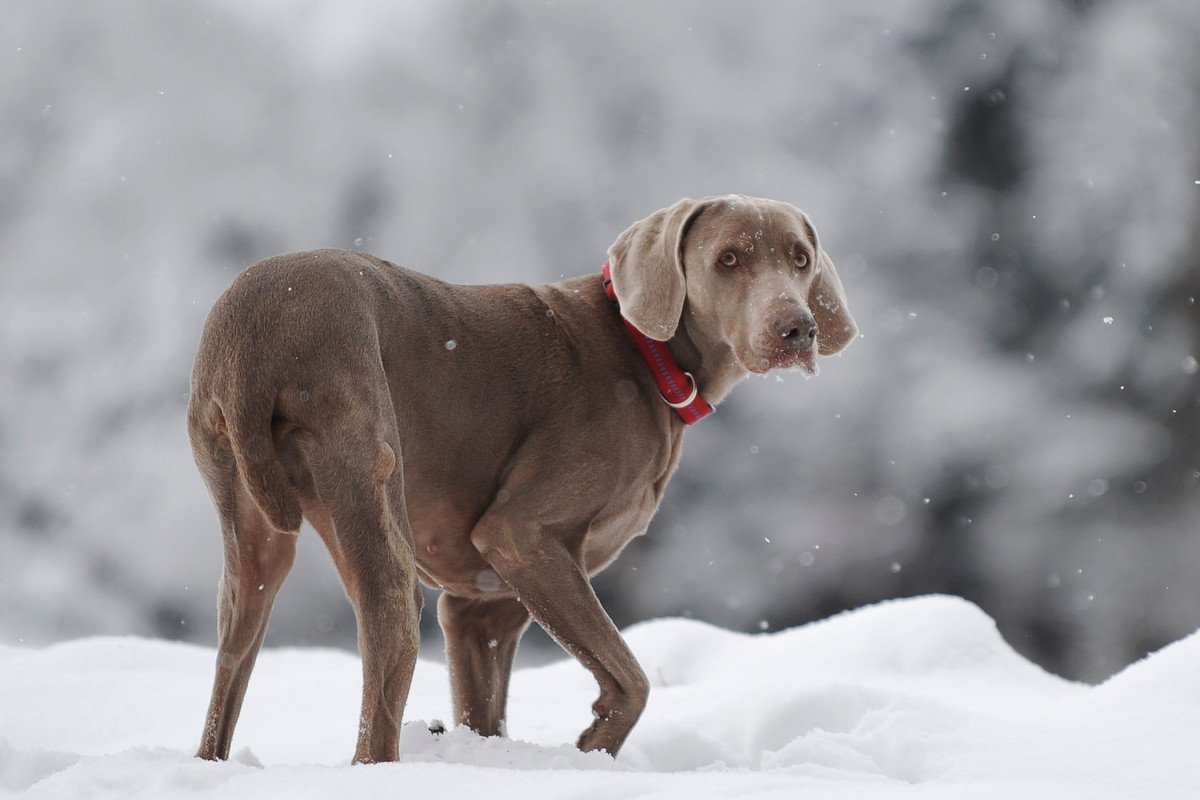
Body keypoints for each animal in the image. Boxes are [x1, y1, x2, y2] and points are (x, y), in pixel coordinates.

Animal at [189, 191, 854, 762]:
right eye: (728, 260)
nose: (797, 329)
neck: (647, 355)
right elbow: (631, 679)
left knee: (236, 639)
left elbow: (486, 709)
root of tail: (254, 333)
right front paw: (589, 749)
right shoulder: (520, 535)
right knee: (385, 632)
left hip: (246, 524)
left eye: (800, 258)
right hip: (369, 479)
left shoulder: (484, 604)